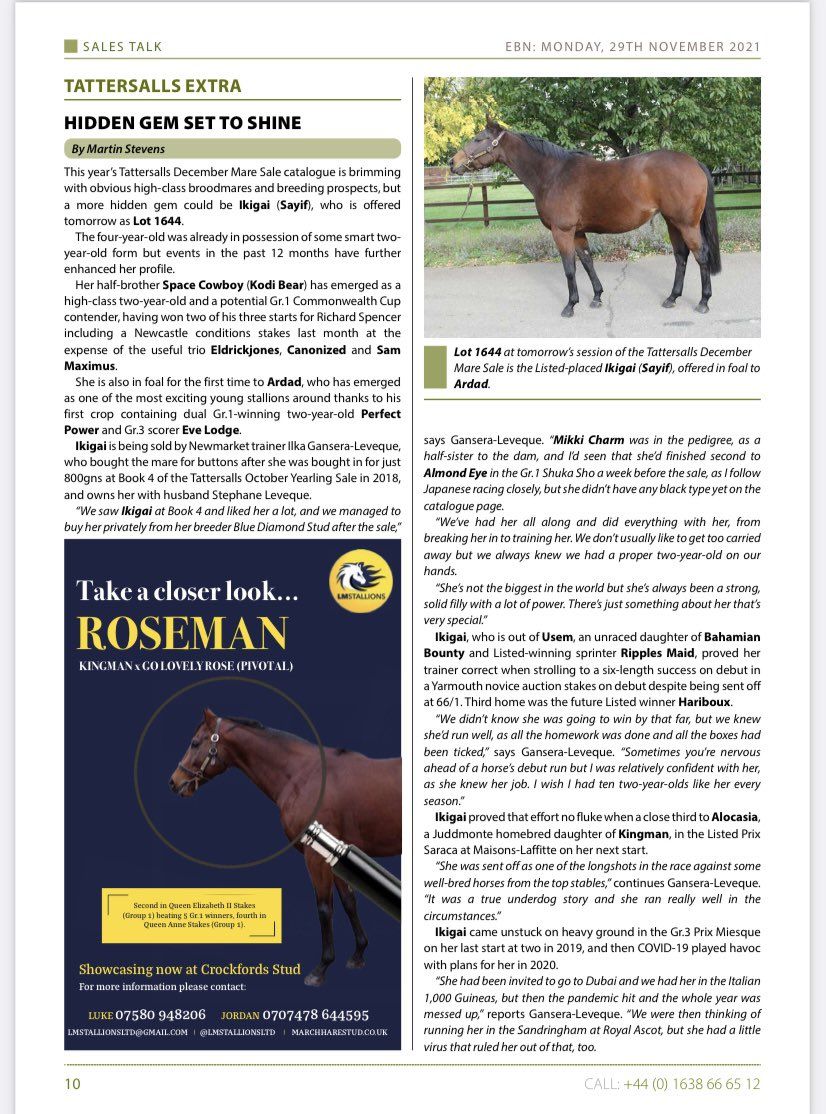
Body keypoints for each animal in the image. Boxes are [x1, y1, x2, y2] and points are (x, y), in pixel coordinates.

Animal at [169, 709, 401, 987]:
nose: (174, 781)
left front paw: (321, 968)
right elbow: (348, 902)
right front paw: (358, 953)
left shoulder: (316, 858)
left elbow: (324, 908)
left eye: (195, 743)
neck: (304, 776)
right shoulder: (335, 860)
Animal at [449, 115, 721, 318]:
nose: (452, 162)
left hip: (686, 224)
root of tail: (694, 162)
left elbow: (570, 269)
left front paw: (570, 305)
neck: (553, 174)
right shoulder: (578, 232)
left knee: (701, 255)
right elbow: (587, 262)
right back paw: (672, 297)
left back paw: (703, 302)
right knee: (681, 257)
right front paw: (597, 297)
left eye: (479, 138)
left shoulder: (562, 232)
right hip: (672, 222)